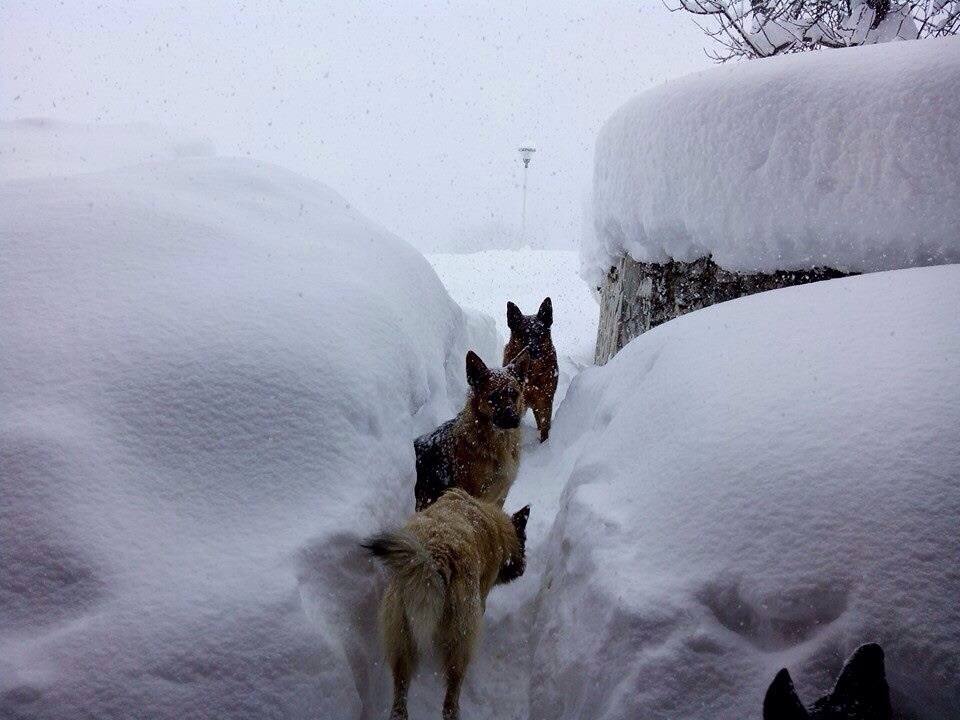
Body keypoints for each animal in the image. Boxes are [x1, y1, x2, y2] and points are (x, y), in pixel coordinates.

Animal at [366, 486, 532, 716]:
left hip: (400, 638)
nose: (524, 568)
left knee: (400, 701)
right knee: (450, 700)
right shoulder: (481, 596)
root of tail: (436, 557)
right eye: (524, 544)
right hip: (460, 642)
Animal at [502, 298, 556, 444]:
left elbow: (545, 426)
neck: (532, 372)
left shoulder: (545, 399)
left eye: (540, 333)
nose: (533, 350)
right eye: (523, 333)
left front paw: (544, 443)